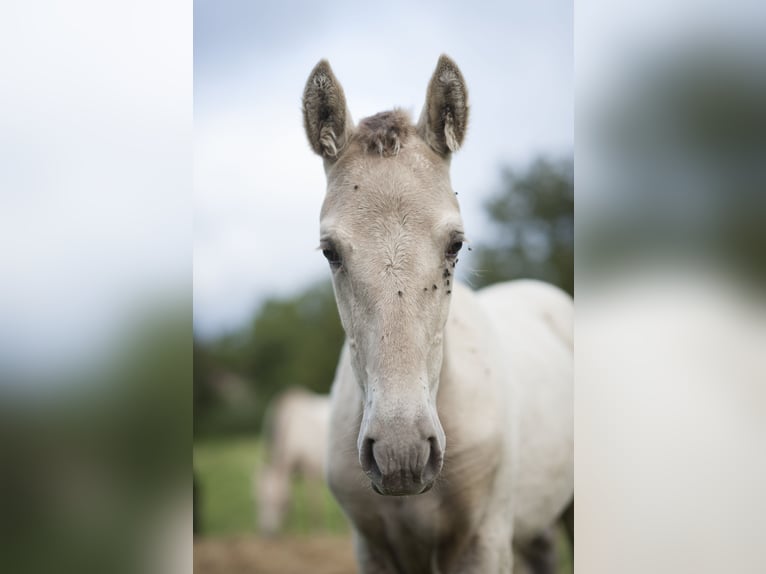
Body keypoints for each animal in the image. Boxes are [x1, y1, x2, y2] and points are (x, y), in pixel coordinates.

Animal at [256, 390, 332, 536]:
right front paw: (291, 529)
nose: (268, 533)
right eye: (260, 500)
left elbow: (313, 501)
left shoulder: (311, 472)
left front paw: (318, 530)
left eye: (279, 503)